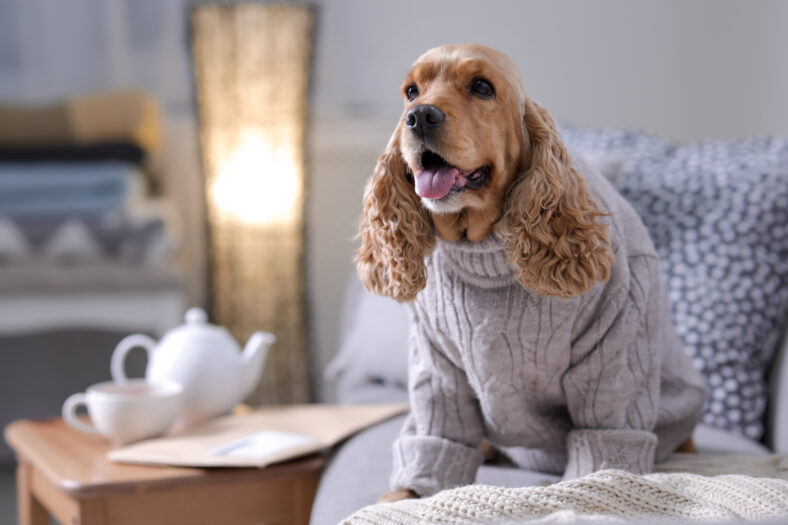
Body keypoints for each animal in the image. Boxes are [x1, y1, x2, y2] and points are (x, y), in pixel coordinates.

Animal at [354, 44, 704, 500]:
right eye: (411, 91)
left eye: (482, 87)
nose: (419, 117)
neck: (482, 244)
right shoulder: (438, 369)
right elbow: (433, 447)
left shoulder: (616, 352)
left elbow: (601, 459)